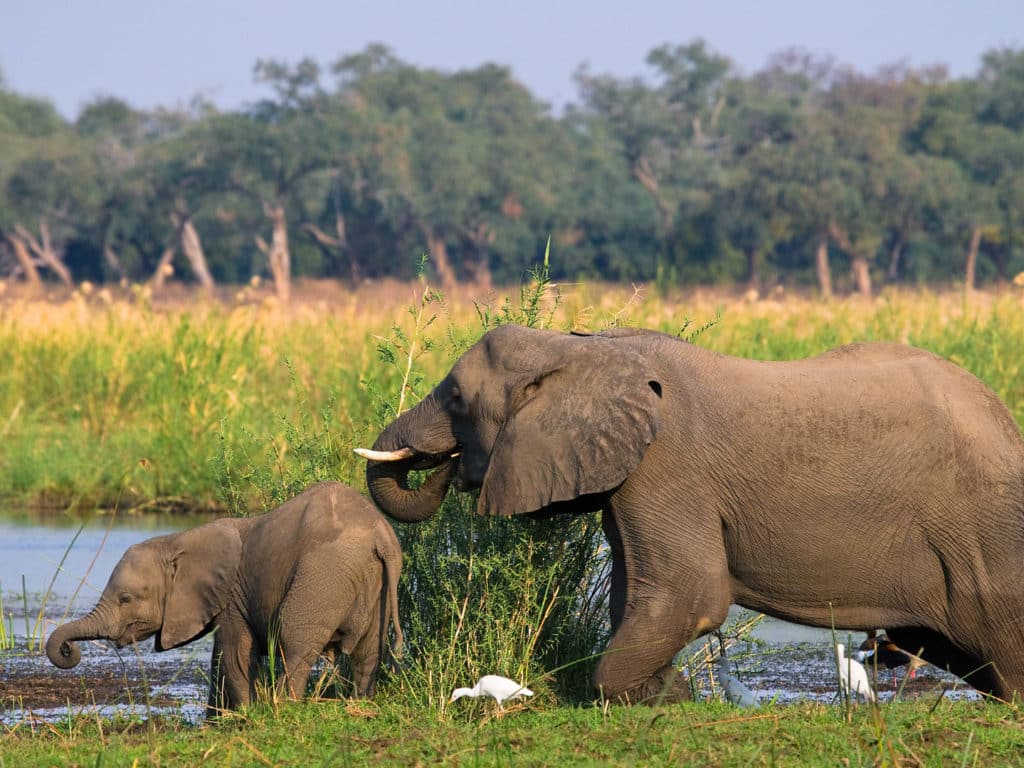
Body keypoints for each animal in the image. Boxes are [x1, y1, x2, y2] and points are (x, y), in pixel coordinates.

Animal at [46, 481, 404, 712]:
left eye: (125, 599)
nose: (68, 651)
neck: (176, 540)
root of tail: (381, 535)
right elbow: (220, 658)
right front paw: (218, 723)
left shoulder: (230, 597)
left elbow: (233, 655)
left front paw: (245, 718)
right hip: (378, 585)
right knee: (369, 650)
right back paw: (360, 704)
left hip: (322, 578)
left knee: (294, 643)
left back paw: (283, 708)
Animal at [360, 323, 1024, 703]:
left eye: (454, 398)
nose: (446, 466)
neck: (584, 350)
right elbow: (635, 587)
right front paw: (667, 692)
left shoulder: (667, 466)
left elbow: (690, 594)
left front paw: (659, 694)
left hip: (985, 532)